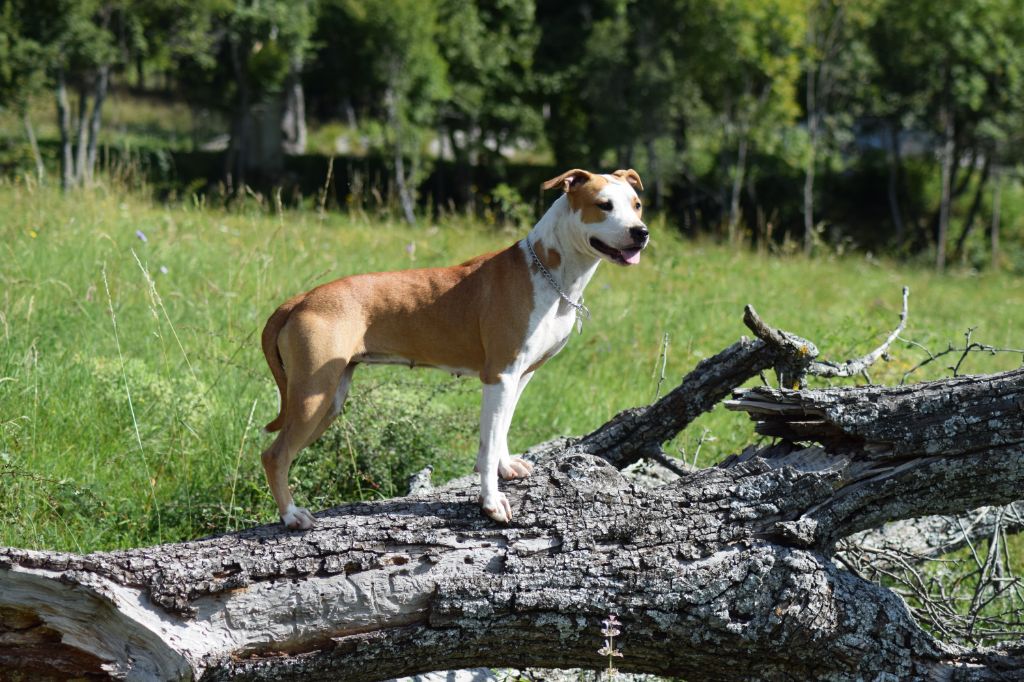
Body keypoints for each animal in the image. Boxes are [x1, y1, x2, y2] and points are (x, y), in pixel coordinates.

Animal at [262, 166, 647, 528]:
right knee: (275, 455)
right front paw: (491, 503)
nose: (640, 232)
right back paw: (292, 516)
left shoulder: (519, 377)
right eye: (603, 205)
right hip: (313, 396)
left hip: (329, 398)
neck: (552, 271)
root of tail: (300, 300)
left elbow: (501, 429)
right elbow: (488, 445)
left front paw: (507, 468)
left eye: (636, 205)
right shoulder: (499, 376)